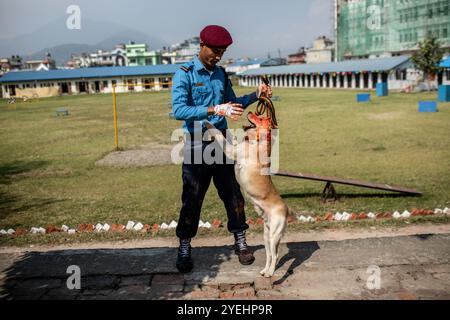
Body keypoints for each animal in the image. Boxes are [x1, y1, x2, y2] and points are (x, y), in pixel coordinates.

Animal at [207, 112, 288, 278]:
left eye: (261, 118)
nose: (250, 112)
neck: (255, 141)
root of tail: (287, 209)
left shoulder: (231, 150)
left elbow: (219, 135)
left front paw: (208, 123)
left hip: (274, 234)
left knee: (275, 255)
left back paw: (271, 273)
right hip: (267, 235)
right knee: (269, 255)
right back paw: (265, 271)